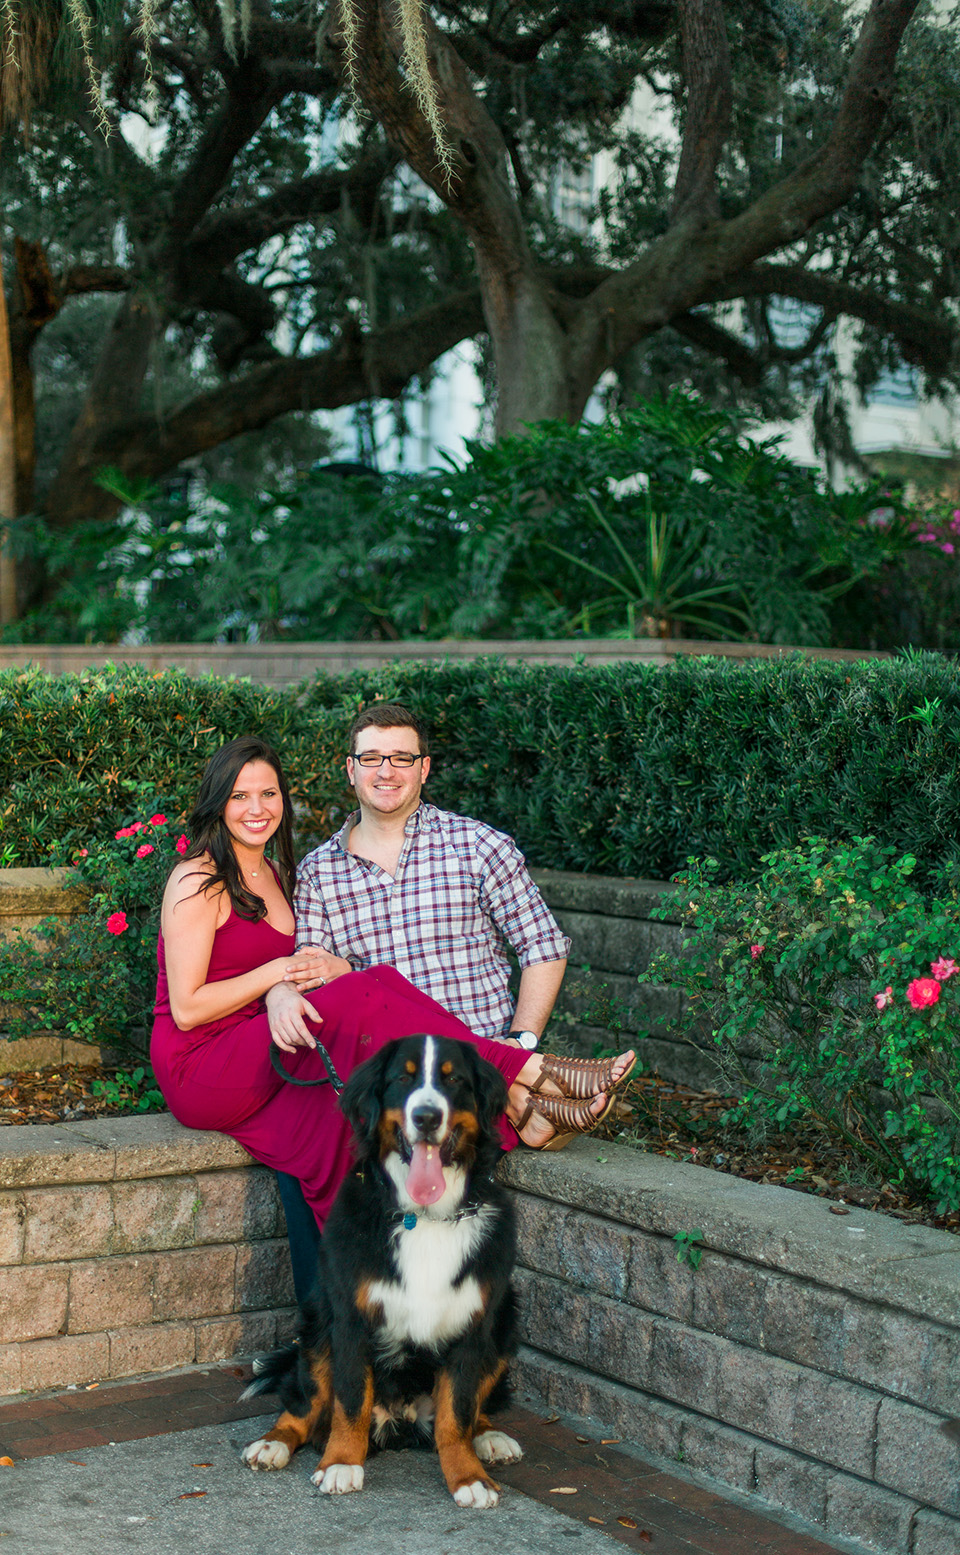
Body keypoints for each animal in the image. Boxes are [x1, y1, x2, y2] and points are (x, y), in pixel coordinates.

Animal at [239, 1032, 522, 1505]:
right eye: (402, 1080)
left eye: (454, 1080)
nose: (426, 1116)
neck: (425, 1217)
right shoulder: (350, 1318)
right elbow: (350, 1399)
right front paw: (340, 1463)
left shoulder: (474, 1324)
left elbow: (459, 1411)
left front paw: (468, 1477)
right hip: (316, 1324)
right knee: (303, 1401)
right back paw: (272, 1443)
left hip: (505, 1322)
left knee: (477, 1406)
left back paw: (490, 1438)